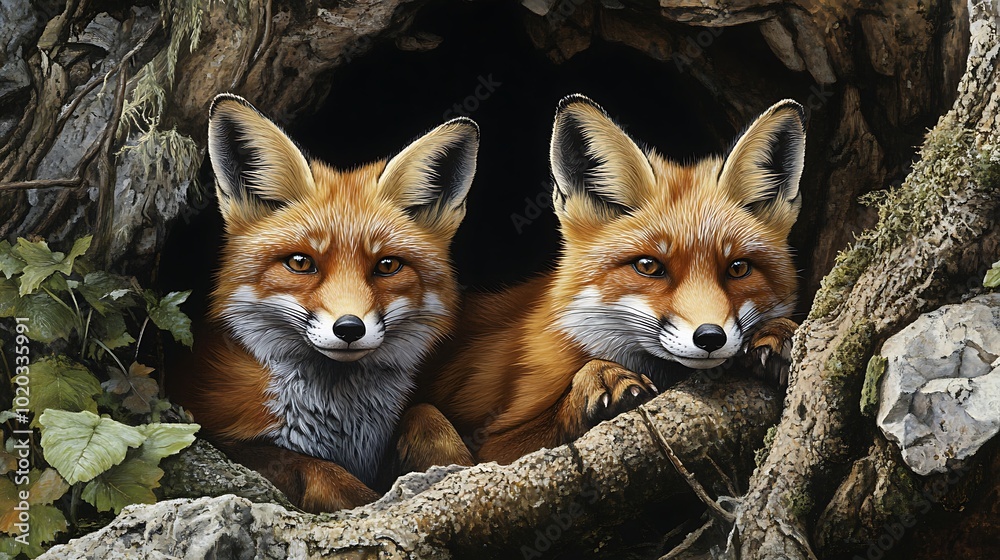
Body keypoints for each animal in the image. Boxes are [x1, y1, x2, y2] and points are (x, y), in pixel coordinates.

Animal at [169, 94, 476, 512]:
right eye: (301, 263)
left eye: (387, 265)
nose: (348, 328)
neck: (340, 428)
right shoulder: (222, 436)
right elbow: (307, 466)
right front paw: (362, 498)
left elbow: (428, 414)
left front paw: (458, 466)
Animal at [419, 95, 804, 464]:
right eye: (648, 266)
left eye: (738, 268)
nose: (710, 337)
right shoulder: (490, 444)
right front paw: (598, 378)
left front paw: (781, 332)